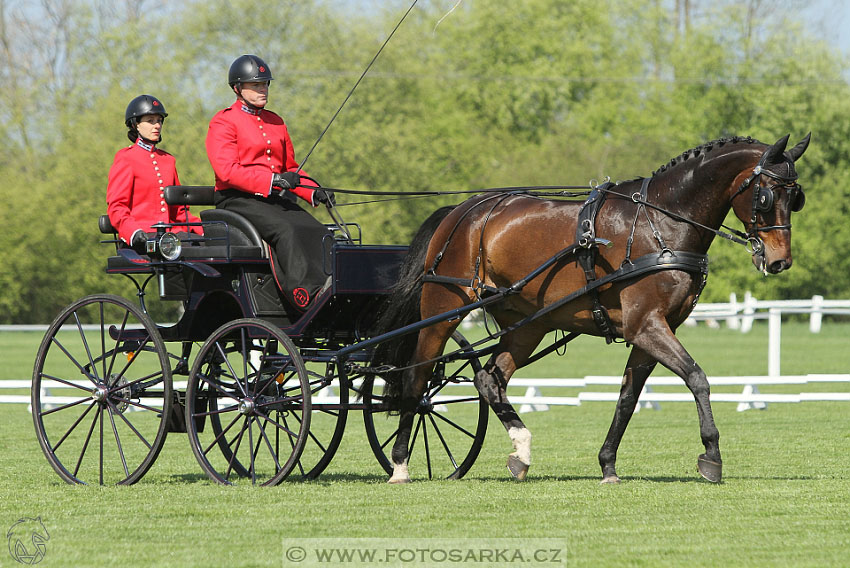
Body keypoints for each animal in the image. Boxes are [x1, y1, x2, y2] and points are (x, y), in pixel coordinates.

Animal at [370, 133, 808, 484]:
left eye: (796, 197)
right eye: (766, 196)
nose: (779, 261)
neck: (661, 224)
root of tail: (463, 211)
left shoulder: (652, 330)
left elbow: (628, 398)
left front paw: (608, 464)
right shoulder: (646, 325)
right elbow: (697, 378)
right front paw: (711, 455)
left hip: (526, 325)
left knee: (489, 379)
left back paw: (521, 451)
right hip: (442, 310)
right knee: (417, 378)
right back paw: (401, 464)